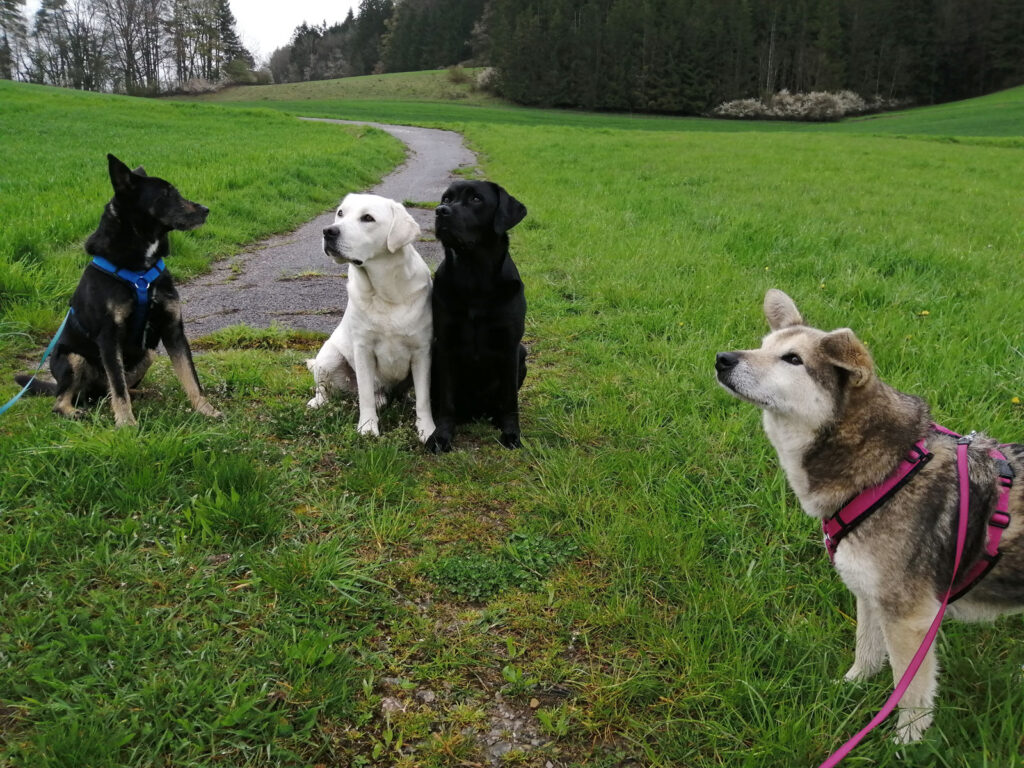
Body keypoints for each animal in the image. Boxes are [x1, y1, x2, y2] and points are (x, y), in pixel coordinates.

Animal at [14, 151, 220, 428]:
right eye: (166, 194)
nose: (206, 210)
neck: (141, 268)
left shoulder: (173, 329)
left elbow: (190, 375)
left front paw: (206, 410)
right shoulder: (109, 337)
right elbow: (119, 388)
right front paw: (126, 424)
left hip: (149, 353)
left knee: (112, 390)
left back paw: (142, 393)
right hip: (73, 358)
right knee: (67, 399)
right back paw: (74, 411)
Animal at [303, 192, 432, 442]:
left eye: (368, 218)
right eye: (340, 213)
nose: (328, 231)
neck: (384, 291)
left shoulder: (422, 352)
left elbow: (424, 398)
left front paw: (427, 430)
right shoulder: (363, 349)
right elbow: (365, 395)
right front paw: (368, 427)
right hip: (329, 358)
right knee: (325, 388)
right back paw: (318, 402)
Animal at [428, 179, 532, 456]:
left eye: (476, 199)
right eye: (446, 198)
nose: (441, 211)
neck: (473, 277)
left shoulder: (510, 347)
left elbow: (510, 401)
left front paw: (512, 434)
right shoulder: (445, 344)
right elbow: (448, 402)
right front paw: (441, 436)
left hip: (522, 354)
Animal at [716, 290, 1024, 745]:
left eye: (793, 359)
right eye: (762, 345)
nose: (722, 359)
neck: (889, 471)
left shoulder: (910, 618)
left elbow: (910, 691)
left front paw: (906, 743)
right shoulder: (868, 592)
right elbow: (867, 652)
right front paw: (851, 688)